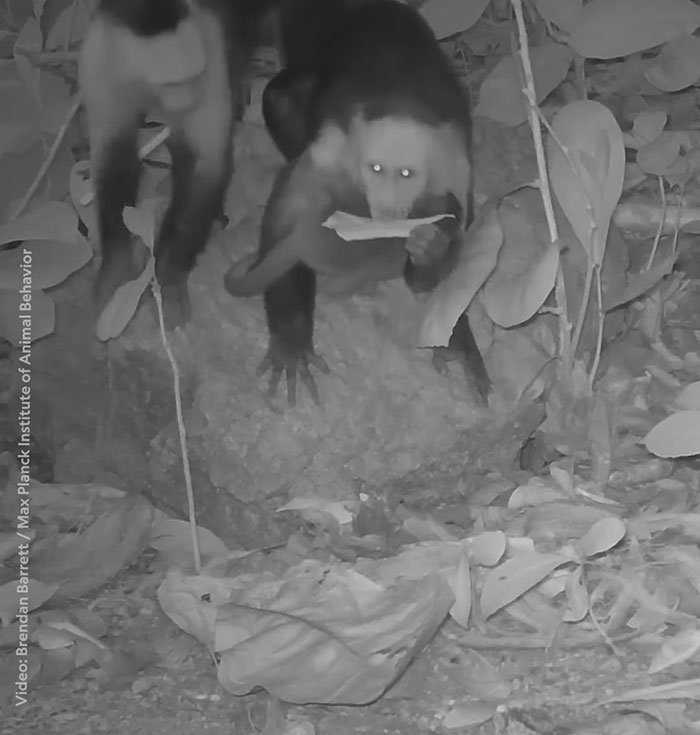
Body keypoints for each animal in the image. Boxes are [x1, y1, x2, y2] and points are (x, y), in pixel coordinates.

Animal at [80, 0, 279, 329]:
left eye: (191, 79)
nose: (189, 99)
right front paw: (115, 266)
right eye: (171, 84)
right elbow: (113, 158)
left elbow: (204, 168)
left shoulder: (209, 54)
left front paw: (169, 276)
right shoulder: (99, 62)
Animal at [225, 0, 490, 405]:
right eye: (376, 169)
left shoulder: (456, 170)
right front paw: (291, 338)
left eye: (406, 174)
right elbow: (282, 235)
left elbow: (442, 268)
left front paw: (431, 254)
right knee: (282, 96)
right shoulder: (331, 153)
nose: (387, 204)